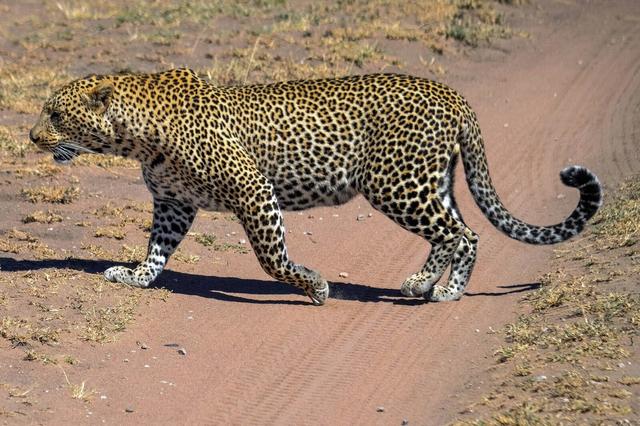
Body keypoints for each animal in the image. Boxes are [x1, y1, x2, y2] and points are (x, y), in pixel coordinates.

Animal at [28, 68, 600, 304]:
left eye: (54, 113)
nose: (32, 136)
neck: (136, 137)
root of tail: (452, 95)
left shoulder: (253, 189)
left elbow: (271, 259)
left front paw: (314, 286)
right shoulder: (173, 203)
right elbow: (156, 250)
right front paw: (135, 278)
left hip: (394, 182)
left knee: (456, 233)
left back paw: (422, 285)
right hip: (428, 181)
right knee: (469, 232)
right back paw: (443, 290)